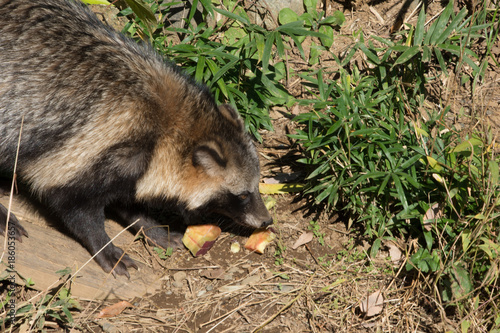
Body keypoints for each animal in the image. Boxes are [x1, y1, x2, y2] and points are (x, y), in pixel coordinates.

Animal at [0, 0, 272, 274]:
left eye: (256, 186)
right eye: (242, 195)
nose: (266, 220)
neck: (169, 124)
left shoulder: (130, 162)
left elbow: (127, 198)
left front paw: (152, 227)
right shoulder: (93, 145)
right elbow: (72, 205)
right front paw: (103, 245)